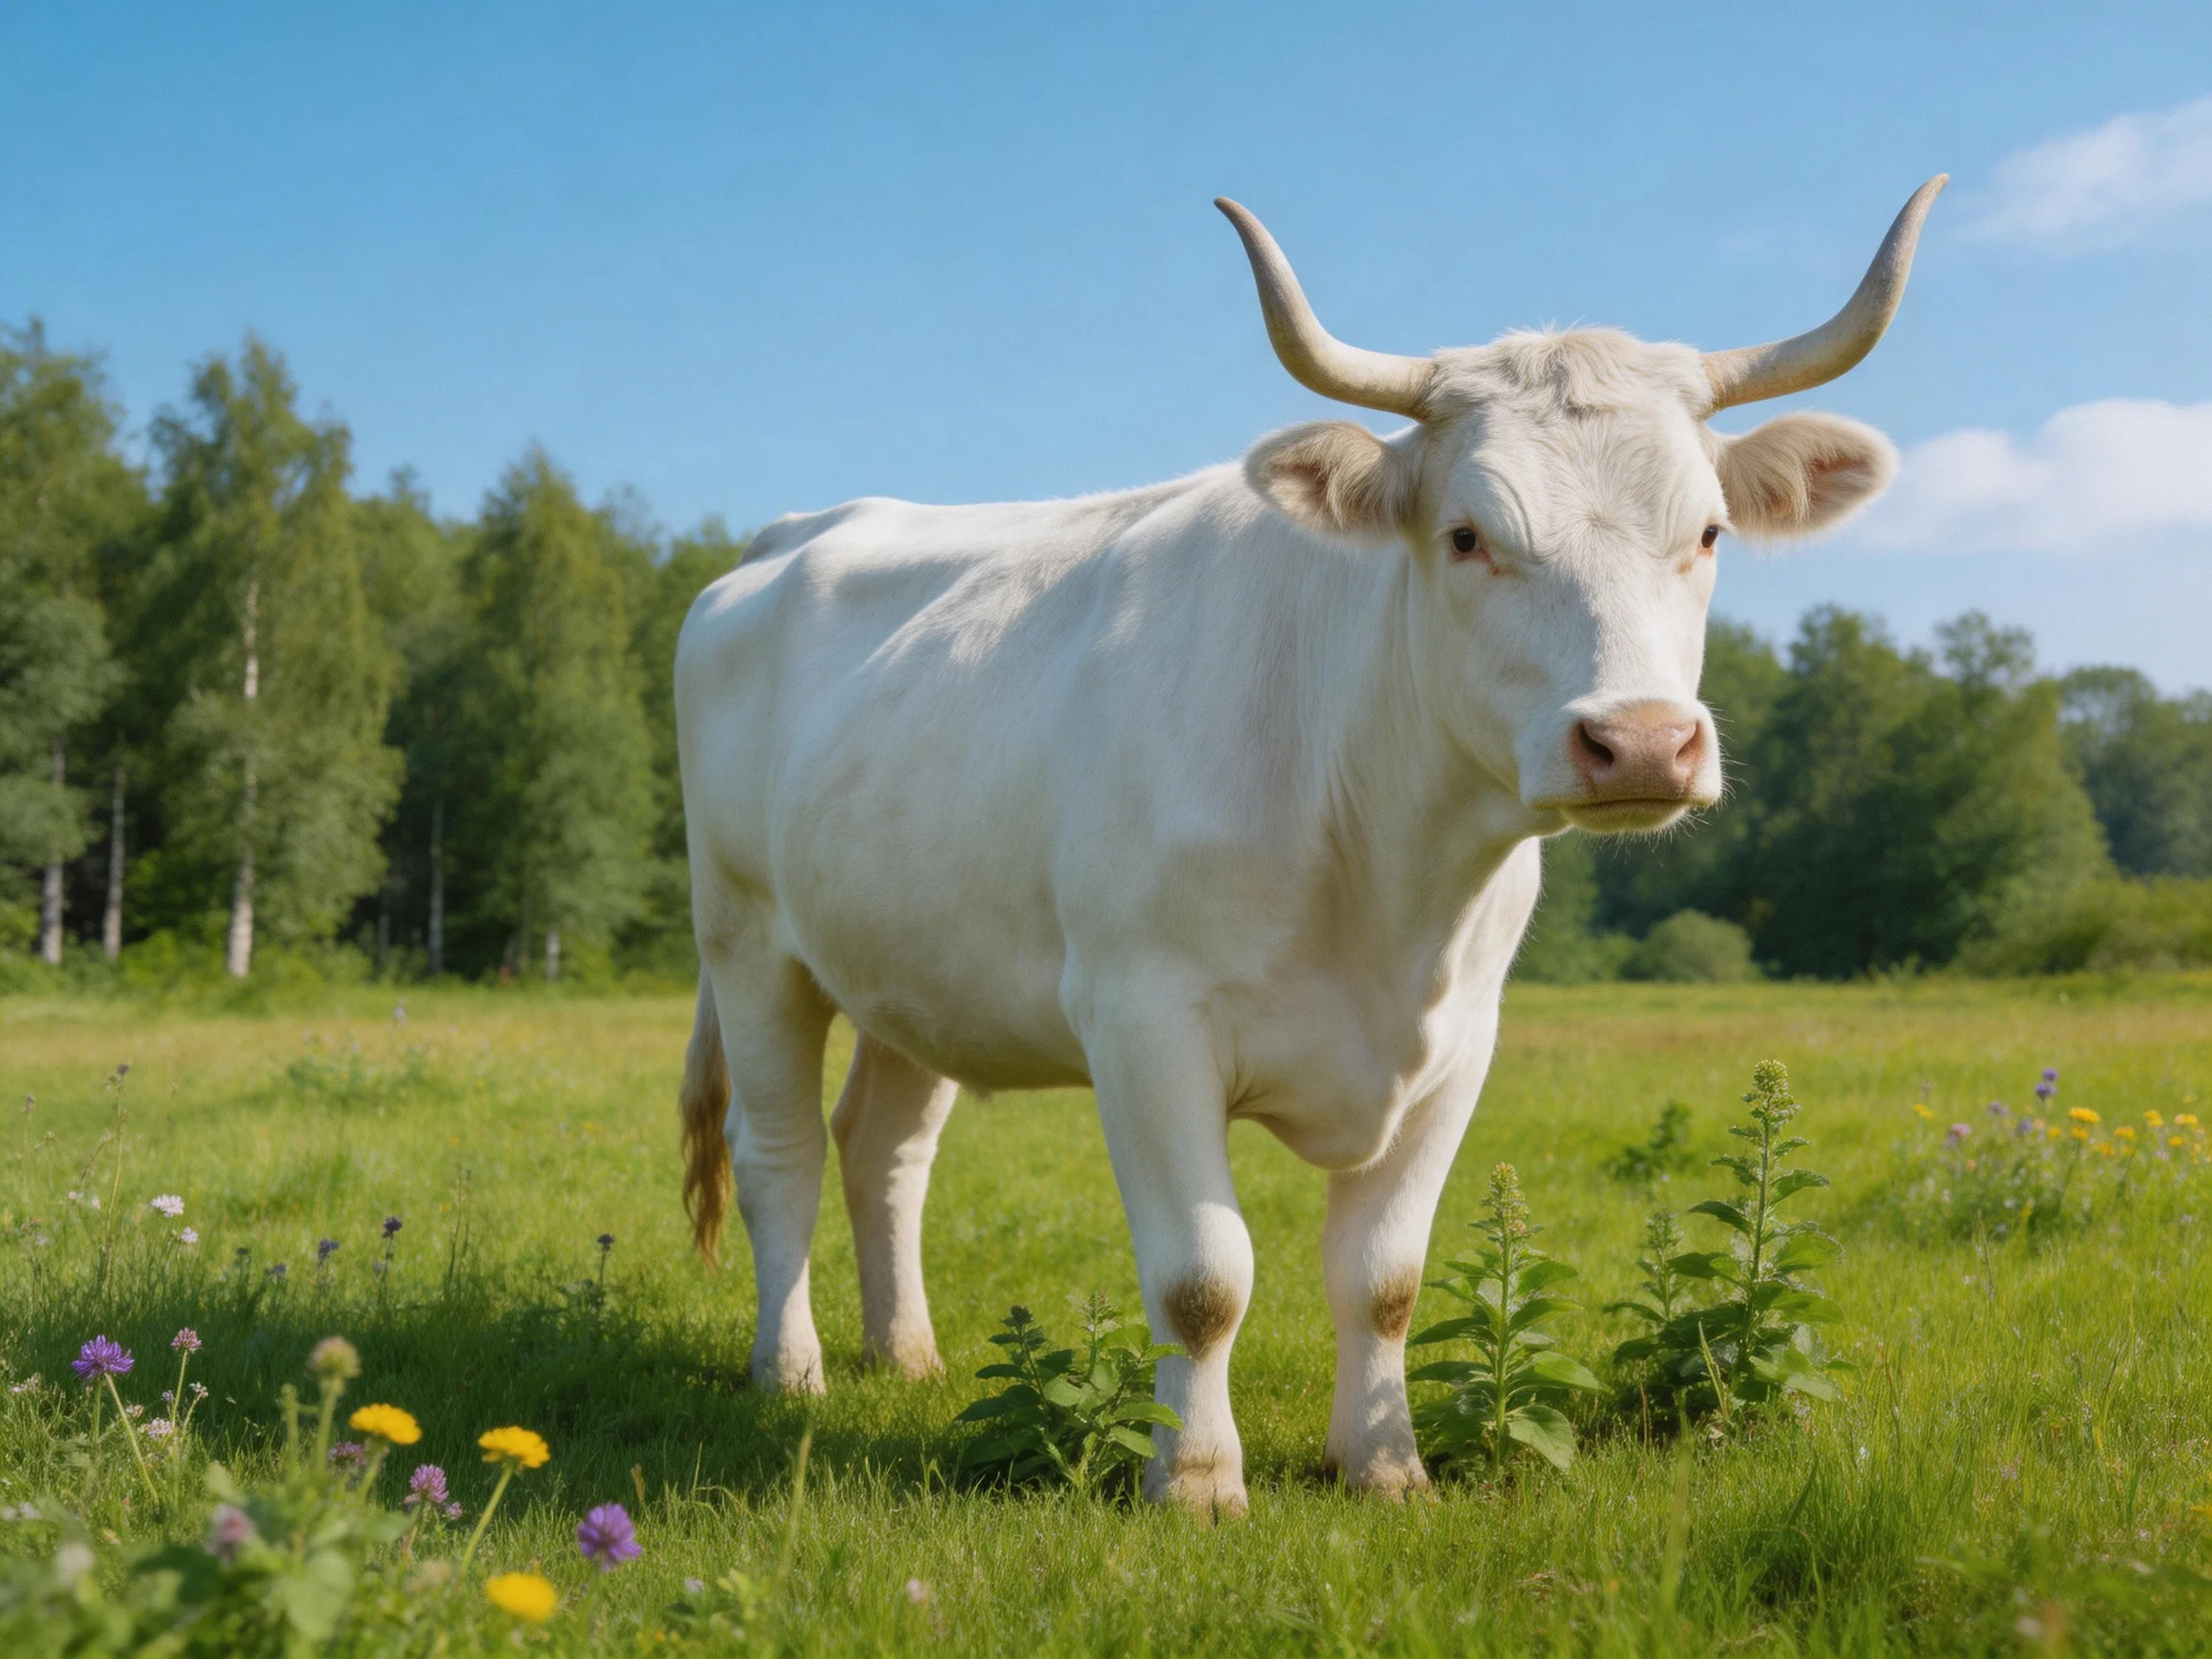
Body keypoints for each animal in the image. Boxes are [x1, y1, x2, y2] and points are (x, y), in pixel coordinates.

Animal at [674, 178, 1944, 1513]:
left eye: (1707, 533)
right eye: (1466, 536)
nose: (1642, 742)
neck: (1387, 879)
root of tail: (793, 533)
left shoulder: (1460, 1042)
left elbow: (1385, 1278)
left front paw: (1384, 1465)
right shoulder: (1142, 1019)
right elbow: (1203, 1277)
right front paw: (1194, 1479)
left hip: (913, 967)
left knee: (884, 1149)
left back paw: (906, 1355)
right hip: (750, 938)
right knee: (778, 1153)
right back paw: (793, 1372)